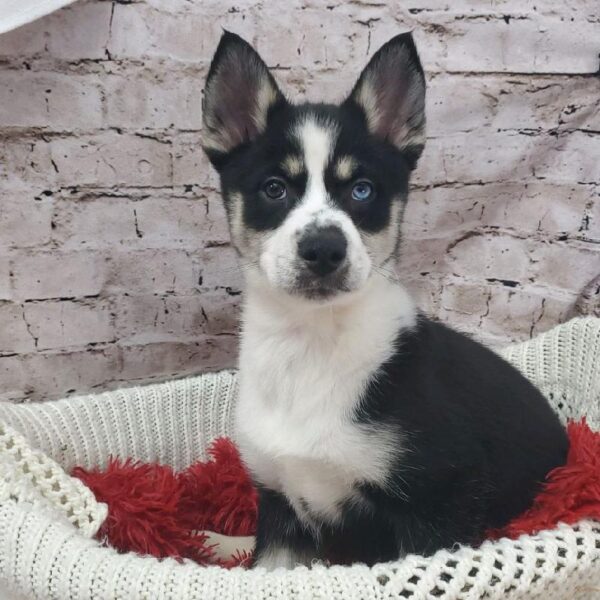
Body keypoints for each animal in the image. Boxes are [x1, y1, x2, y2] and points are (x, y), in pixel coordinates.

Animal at [200, 30, 568, 568]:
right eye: (273, 189)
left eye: (362, 190)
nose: (324, 249)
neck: (311, 343)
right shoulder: (280, 508)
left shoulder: (440, 501)